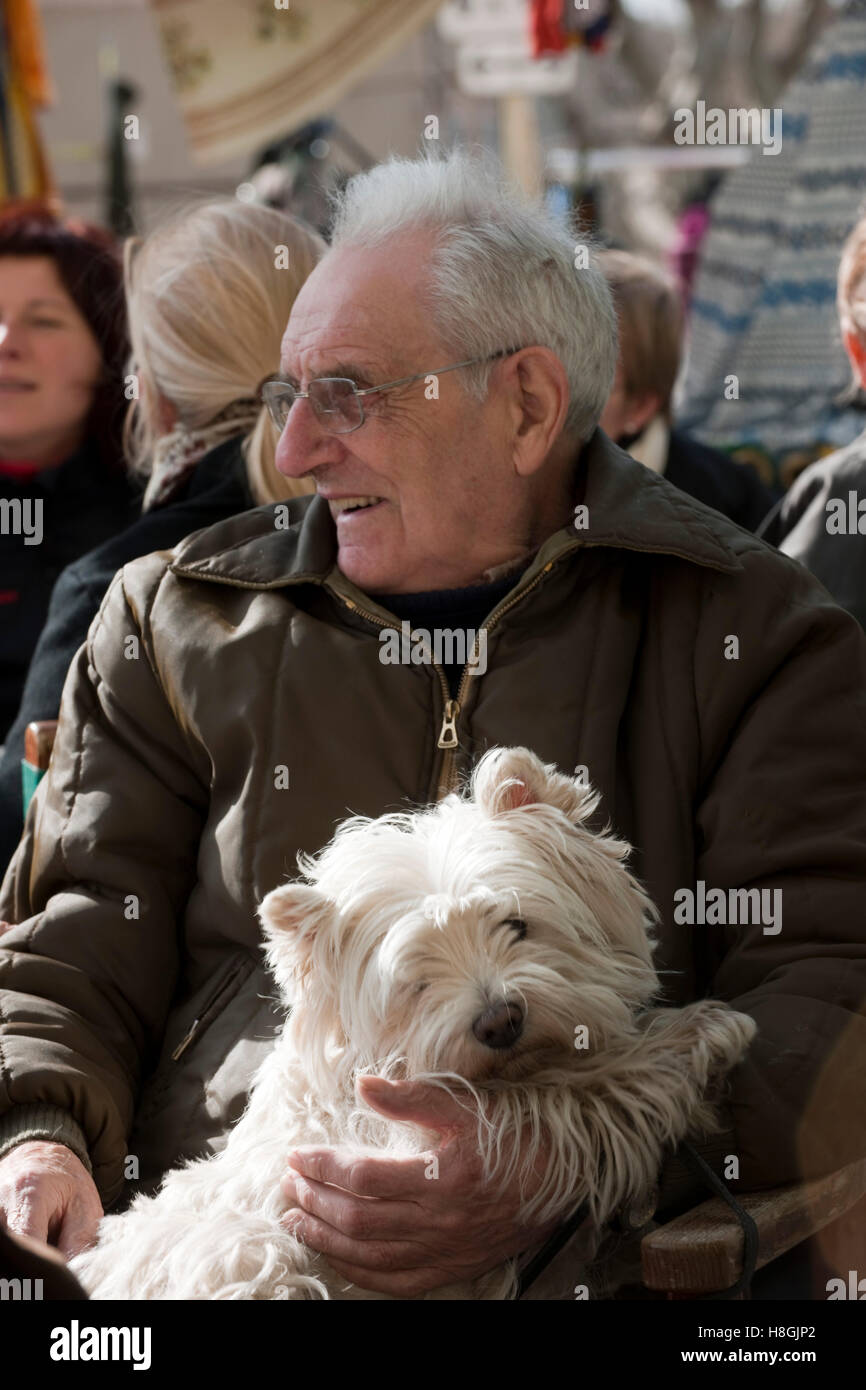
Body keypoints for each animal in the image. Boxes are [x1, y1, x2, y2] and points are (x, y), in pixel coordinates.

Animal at [71, 750, 756, 1301]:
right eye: (414, 981)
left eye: (516, 925)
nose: (500, 1022)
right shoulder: (407, 1142)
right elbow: (559, 1095)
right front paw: (694, 1035)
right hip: (253, 1254)